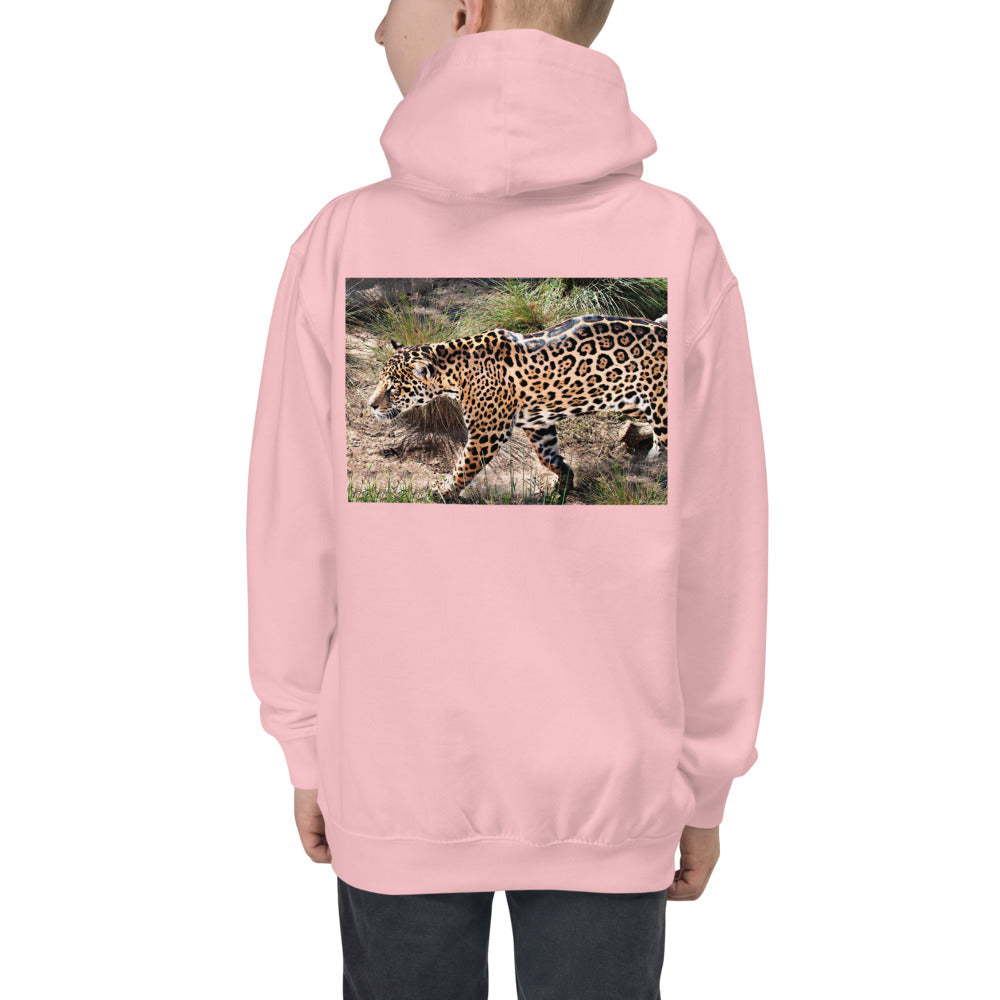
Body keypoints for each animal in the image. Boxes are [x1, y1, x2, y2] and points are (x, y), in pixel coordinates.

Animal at [366, 313, 668, 502]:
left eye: (393, 388)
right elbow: (547, 456)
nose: (371, 405)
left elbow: (464, 466)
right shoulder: (539, 424)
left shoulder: (487, 433)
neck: (453, 373)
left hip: (661, 407)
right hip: (633, 401)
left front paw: (443, 491)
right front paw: (563, 482)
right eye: (381, 381)